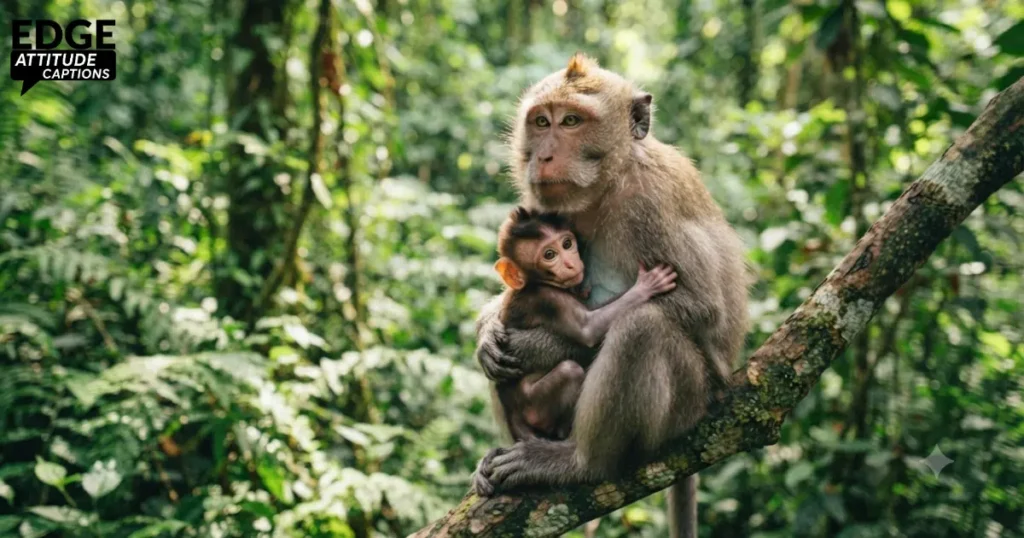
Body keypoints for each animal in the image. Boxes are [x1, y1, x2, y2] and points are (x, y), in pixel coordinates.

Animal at [490, 206, 678, 442]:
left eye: (567, 244)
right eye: (549, 255)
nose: (571, 264)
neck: (536, 282)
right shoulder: (548, 299)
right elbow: (588, 329)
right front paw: (646, 286)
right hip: (533, 408)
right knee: (570, 371)